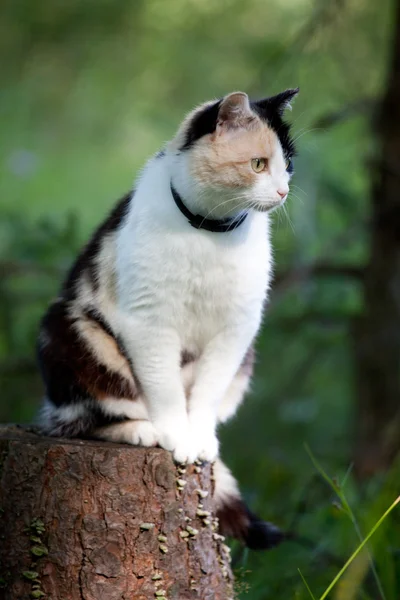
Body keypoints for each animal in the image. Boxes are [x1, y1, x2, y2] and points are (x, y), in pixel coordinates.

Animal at [37, 86, 298, 552]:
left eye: (289, 165)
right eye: (258, 164)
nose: (284, 191)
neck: (209, 231)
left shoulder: (237, 328)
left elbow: (207, 392)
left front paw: (199, 438)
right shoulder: (150, 321)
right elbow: (164, 387)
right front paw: (177, 435)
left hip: (247, 357)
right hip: (68, 330)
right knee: (82, 417)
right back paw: (143, 431)